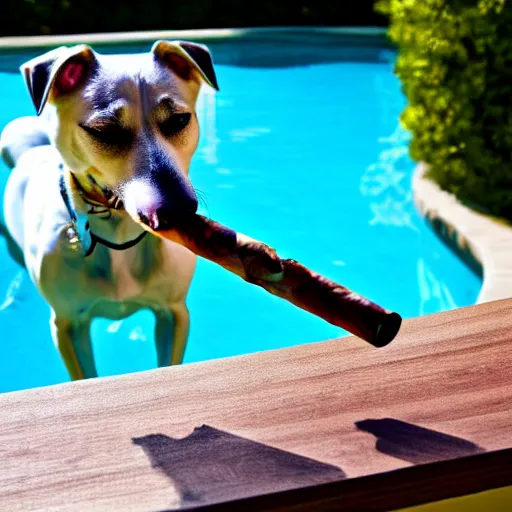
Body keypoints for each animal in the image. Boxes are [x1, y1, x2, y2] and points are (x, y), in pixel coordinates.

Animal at [0, 41, 220, 380]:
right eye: (104, 131)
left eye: (179, 120)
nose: (178, 210)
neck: (119, 237)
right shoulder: (69, 324)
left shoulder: (173, 312)